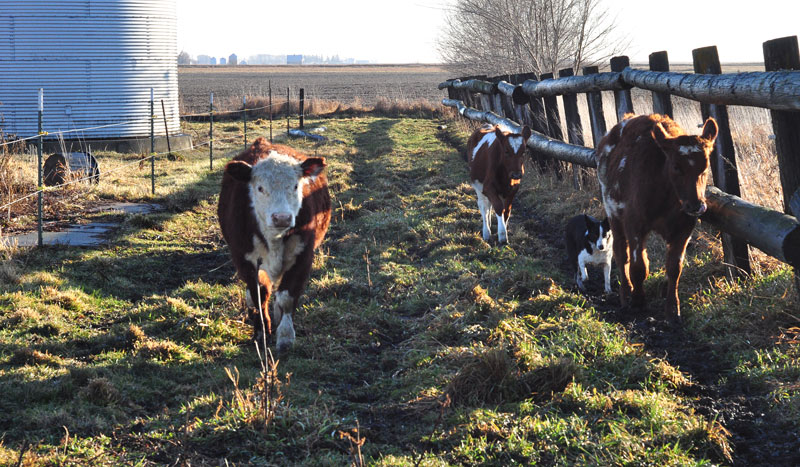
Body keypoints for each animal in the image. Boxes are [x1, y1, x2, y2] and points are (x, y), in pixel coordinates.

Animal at [218, 137, 331, 352]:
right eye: (260, 188)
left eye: (295, 186)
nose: (282, 218)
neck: (275, 239)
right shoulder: (245, 260)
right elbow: (259, 295)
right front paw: (261, 333)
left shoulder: (303, 256)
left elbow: (286, 297)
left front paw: (285, 336)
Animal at [596, 113, 717, 319]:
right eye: (676, 166)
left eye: (706, 165)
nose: (696, 205)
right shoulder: (634, 224)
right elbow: (638, 266)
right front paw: (638, 301)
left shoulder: (684, 229)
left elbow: (674, 268)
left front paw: (673, 309)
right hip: (614, 215)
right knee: (621, 254)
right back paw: (625, 294)